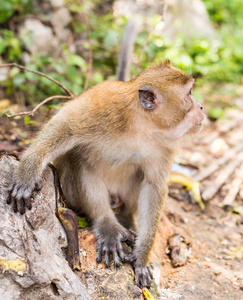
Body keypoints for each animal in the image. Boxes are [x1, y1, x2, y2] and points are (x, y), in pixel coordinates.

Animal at [7, 59, 205, 288]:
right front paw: (28, 171)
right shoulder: (104, 107)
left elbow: (154, 186)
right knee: (80, 158)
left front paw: (141, 256)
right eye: (189, 93)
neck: (142, 127)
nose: (201, 106)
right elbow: (64, 126)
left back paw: (126, 220)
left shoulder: (165, 146)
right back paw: (107, 225)